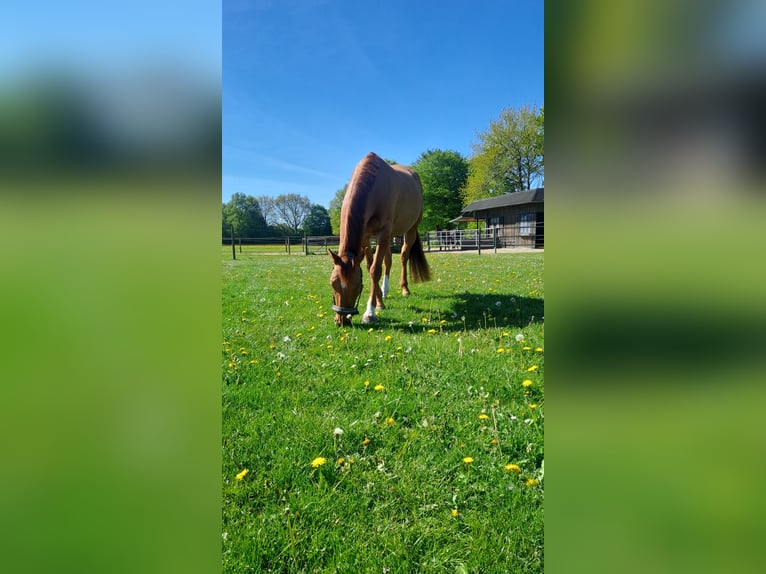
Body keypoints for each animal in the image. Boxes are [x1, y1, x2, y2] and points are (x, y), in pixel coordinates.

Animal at [329, 152, 431, 326]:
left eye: (357, 286)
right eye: (333, 283)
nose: (341, 320)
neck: (374, 186)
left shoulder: (383, 233)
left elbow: (374, 270)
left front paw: (369, 313)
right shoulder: (366, 237)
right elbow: (371, 266)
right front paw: (379, 303)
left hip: (410, 230)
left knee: (403, 256)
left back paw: (404, 289)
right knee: (388, 261)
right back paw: (384, 292)